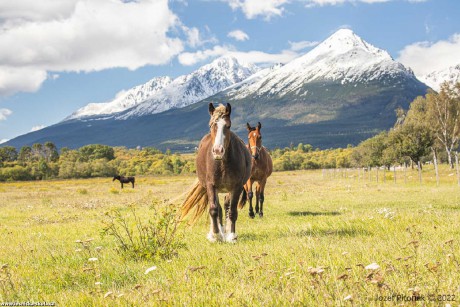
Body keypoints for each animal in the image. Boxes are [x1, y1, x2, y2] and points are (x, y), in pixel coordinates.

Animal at [181, 103, 252, 243]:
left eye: (228, 125)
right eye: (211, 125)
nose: (218, 151)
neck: (222, 163)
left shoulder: (237, 187)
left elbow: (232, 211)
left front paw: (231, 235)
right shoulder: (211, 185)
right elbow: (213, 209)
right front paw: (216, 235)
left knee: (226, 206)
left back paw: (226, 231)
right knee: (217, 208)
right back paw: (217, 232)